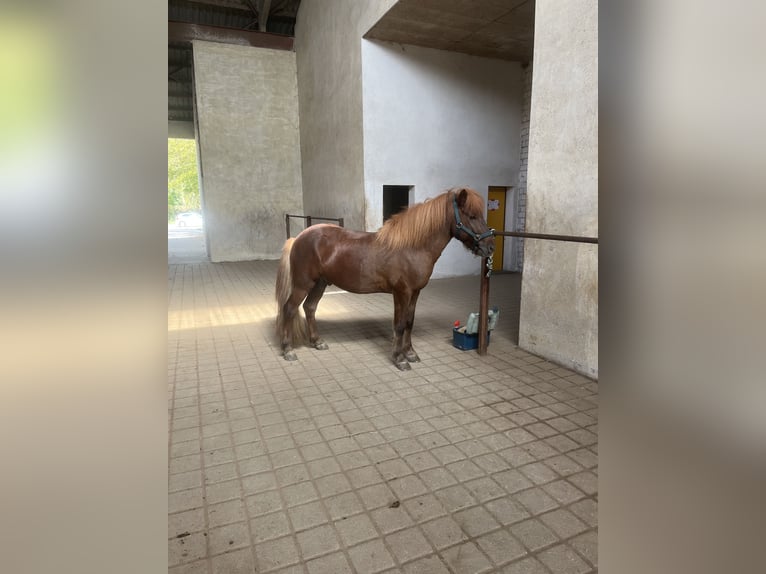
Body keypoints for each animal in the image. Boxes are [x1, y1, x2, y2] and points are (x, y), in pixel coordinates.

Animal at [275, 187, 495, 370]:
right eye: (472, 216)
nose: (490, 247)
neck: (412, 247)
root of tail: (299, 237)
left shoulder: (415, 292)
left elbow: (409, 322)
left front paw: (411, 353)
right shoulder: (401, 292)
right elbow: (399, 324)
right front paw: (399, 359)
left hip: (319, 283)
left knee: (310, 307)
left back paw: (317, 342)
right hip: (303, 284)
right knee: (290, 309)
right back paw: (288, 350)